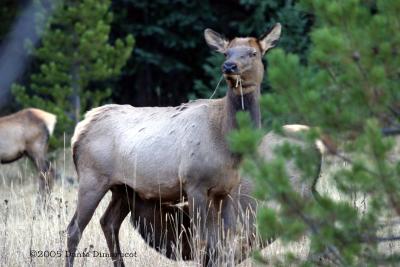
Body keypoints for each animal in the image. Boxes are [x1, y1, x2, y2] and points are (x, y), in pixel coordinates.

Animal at [66, 23, 282, 267]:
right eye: (227, 53)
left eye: (253, 53)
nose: (229, 66)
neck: (228, 145)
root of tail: (80, 128)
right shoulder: (194, 184)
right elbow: (201, 241)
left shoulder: (227, 189)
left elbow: (226, 240)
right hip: (92, 178)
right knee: (74, 228)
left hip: (123, 187)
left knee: (108, 222)